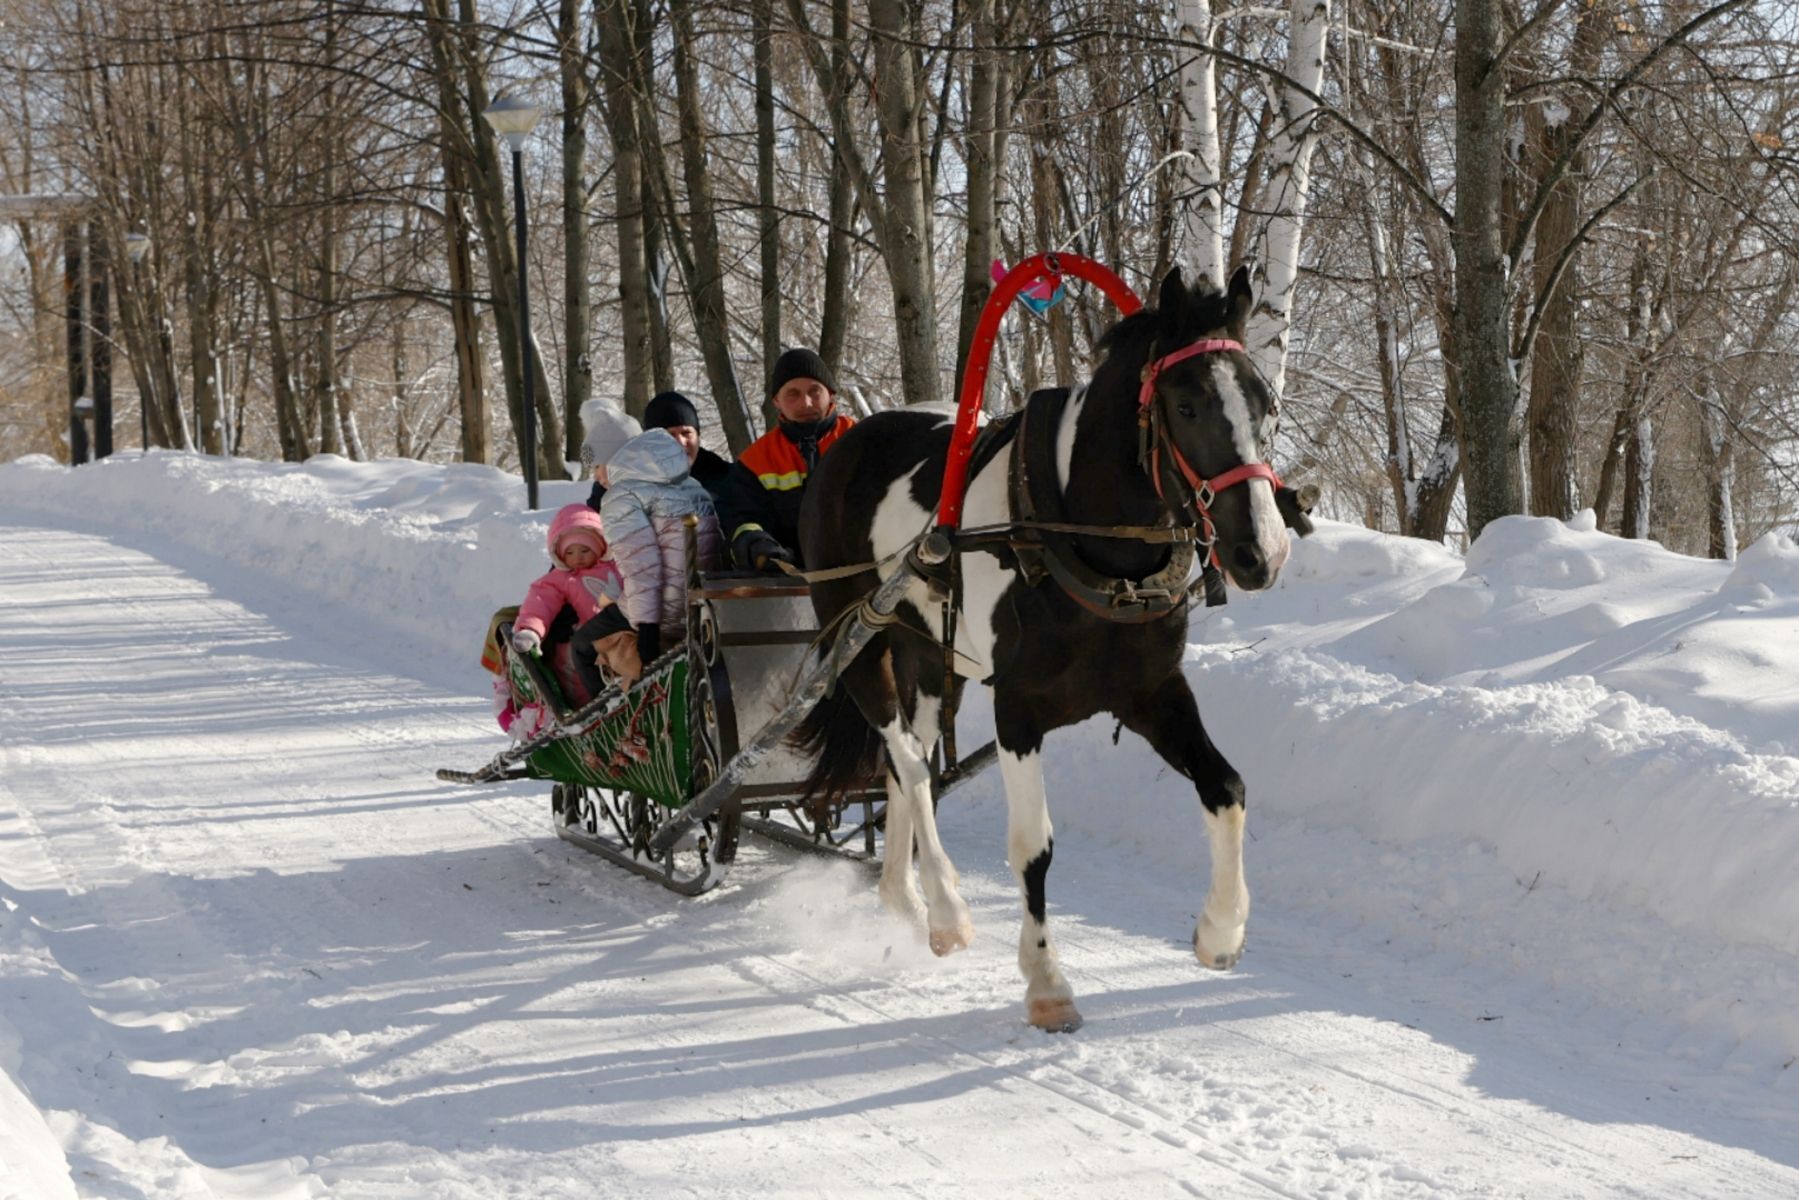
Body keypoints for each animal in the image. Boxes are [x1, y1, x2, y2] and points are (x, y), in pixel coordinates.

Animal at [793, 265, 1291, 1032]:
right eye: (1185, 405)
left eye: (1265, 404)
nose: (1260, 553)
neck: (1087, 544)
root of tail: (848, 438)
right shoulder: (1018, 709)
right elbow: (1033, 847)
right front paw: (1047, 982)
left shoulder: (1151, 692)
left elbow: (1227, 788)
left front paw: (1220, 931)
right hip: (860, 639)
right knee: (906, 757)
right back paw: (944, 909)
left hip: (929, 655)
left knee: (905, 759)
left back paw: (903, 896)